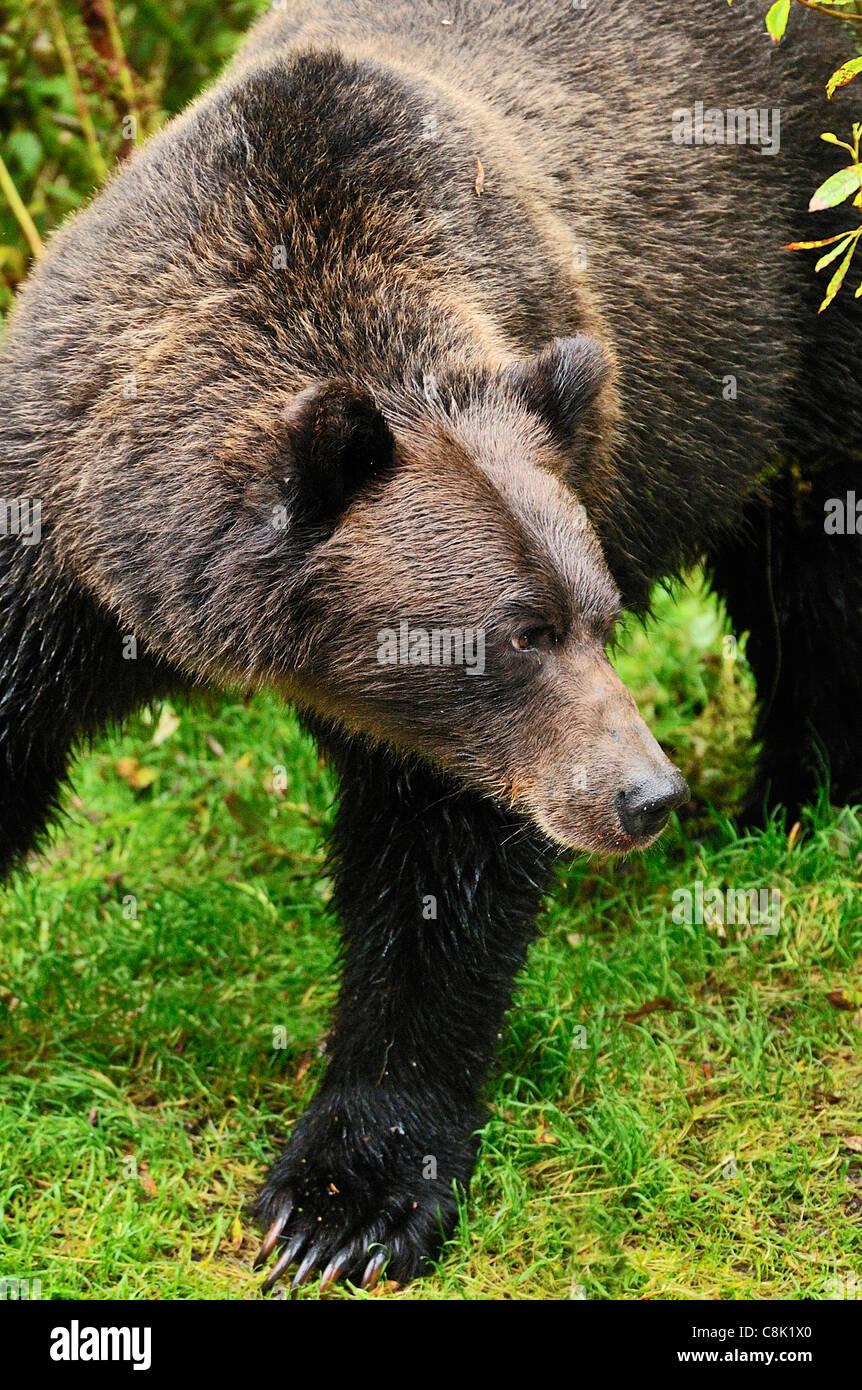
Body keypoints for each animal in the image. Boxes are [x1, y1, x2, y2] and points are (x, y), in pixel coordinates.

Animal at [0, 0, 859, 1290]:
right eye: (523, 634)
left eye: (595, 614)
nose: (642, 793)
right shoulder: (52, 560)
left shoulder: (465, 722)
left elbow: (436, 882)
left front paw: (344, 1201)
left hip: (813, 282)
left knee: (818, 561)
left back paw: (801, 797)